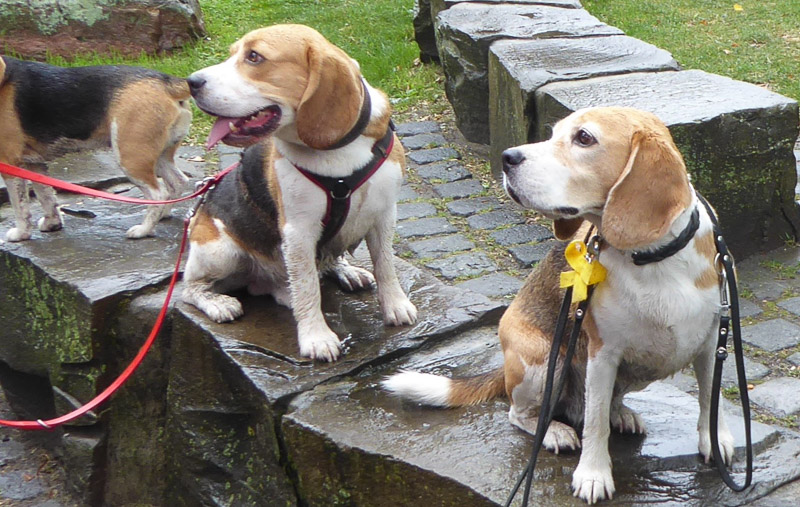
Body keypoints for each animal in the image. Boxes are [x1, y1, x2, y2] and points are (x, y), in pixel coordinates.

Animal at [0, 55, 192, 242]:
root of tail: (167, 82)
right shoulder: (34, 163)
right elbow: (45, 195)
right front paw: (52, 224)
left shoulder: (10, 164)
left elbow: (20, 207)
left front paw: (21, 234)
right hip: (158, 155)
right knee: (178, 182)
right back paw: (163, 215)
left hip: (131, 157)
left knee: (158, 194)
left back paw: (143, 230)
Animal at [184, 25, 416, 364]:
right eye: (232, 54)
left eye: (254, 57)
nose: (191, 82)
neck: (336, 152)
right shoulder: (298, 231)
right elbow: (307, 286)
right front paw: (316, 337)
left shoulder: (385, 214)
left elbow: (385, 265)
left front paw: (396, 306)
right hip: (219, 250)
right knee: (189, 288)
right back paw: (219, 302)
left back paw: (342, 271)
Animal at [384, 108, 736, 504]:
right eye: (553, 134)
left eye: (584, 138)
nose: (507, 157)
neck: (652, 258)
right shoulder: (602, 353)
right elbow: (594, 423)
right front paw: (594, 474)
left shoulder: (712, 343)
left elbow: (710, 400)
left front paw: (714, 442)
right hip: (540, 363)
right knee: (522, 414)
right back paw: (554, 430)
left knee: (603, 403)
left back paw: (620, 413)